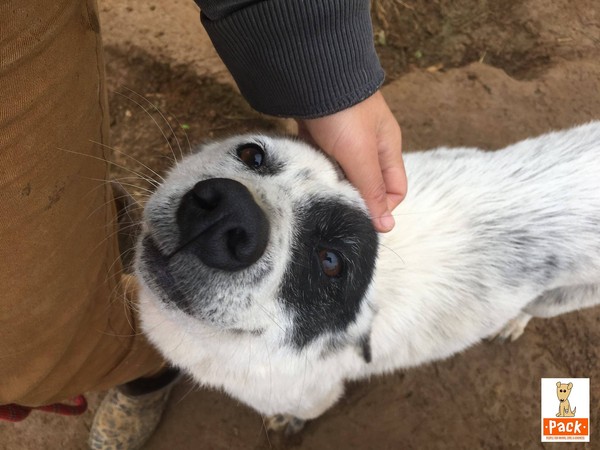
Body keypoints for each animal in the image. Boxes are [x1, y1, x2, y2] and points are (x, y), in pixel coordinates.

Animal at [135, 121, 600, 430]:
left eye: (331, 262)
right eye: (252, 154)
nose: (230, 215)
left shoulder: (315, 396)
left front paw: (285, 423)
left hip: (565, 296)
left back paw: (513, 321)